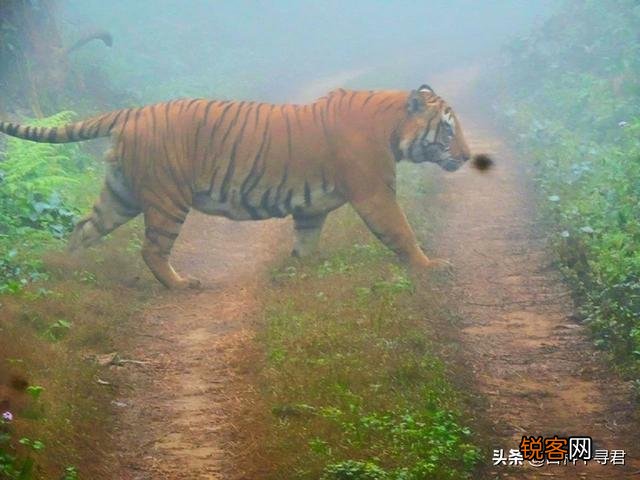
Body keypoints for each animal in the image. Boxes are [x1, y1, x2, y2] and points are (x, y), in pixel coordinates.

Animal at [0, 84, 477, 289]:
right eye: (448, 130)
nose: (470, 156)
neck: (393, 128)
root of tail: (134, 111)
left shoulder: (312, 209)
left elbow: (305, 244)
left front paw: (297, 274)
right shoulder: (375, 193)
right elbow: (402, 232)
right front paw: (429, 267)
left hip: (120, 195)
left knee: (83, 228)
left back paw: (68, 267)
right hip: (168, 198)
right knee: (152, 249)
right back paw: (180, 284)